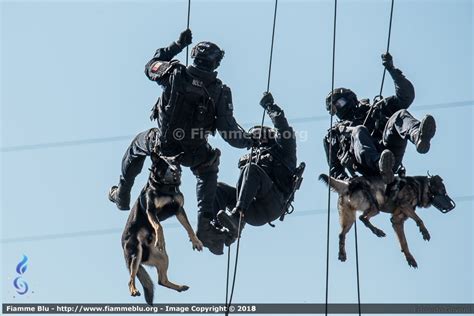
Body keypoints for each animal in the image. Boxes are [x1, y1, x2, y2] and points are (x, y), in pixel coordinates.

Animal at [121, 152, 203, 304]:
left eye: (175, 163)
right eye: (164, 165)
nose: (175, 171)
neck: (167, 188)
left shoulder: (179, 209)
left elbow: (188, 226)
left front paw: (196, 241)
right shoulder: (151, 211)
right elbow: (159, 226)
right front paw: (160, 240)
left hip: (163, 257)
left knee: (161, 280)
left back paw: (179, 287)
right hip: (135, 253)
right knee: (131, 279)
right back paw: (134, 290)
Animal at [318, 174, 456, 268]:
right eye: (443, 191)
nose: (451, 206)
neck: (419, 186)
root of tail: (349, 184)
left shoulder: (397, 221)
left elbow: (404, 243)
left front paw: (409, 258)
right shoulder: (405, 205)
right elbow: (419, 220)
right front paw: (424, 232)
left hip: (350, 218)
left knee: (342, 234)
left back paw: (342, 254)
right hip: (375, 206)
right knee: (363, 218)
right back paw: (377, 231)